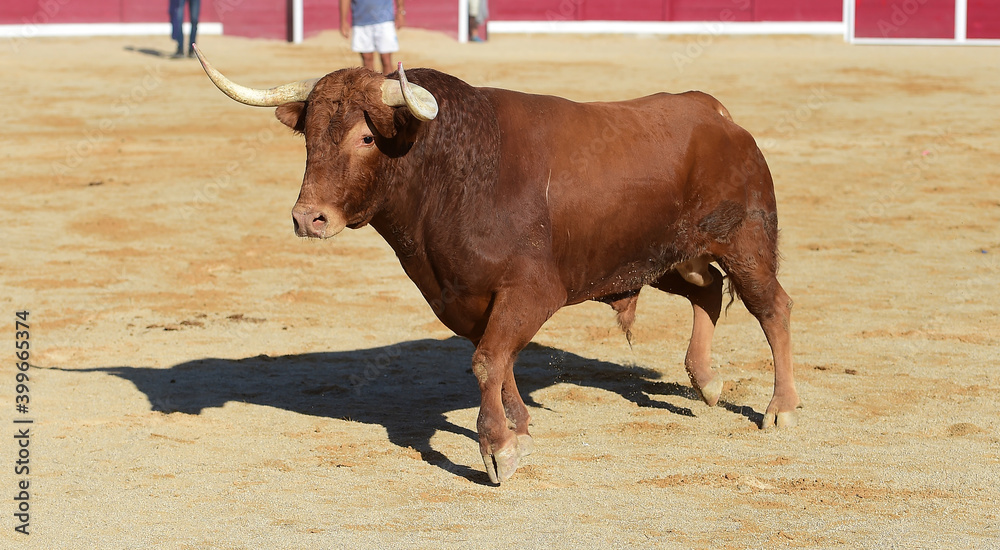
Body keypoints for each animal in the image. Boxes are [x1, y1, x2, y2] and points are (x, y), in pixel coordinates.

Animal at [193, 45, 800, 484]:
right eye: (309, 139)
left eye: (366, 136)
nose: (308, 218)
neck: (452, 170)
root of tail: (716, 114)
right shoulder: (462, 297)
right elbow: (501, 361)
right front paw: (520, 432)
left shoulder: (530, 292)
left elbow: (487, 362)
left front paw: (498, 450)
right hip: (665, 258)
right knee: (706, 290)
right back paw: (707, 381)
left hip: (744, 242)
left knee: (773, 307)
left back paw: (781, 409)